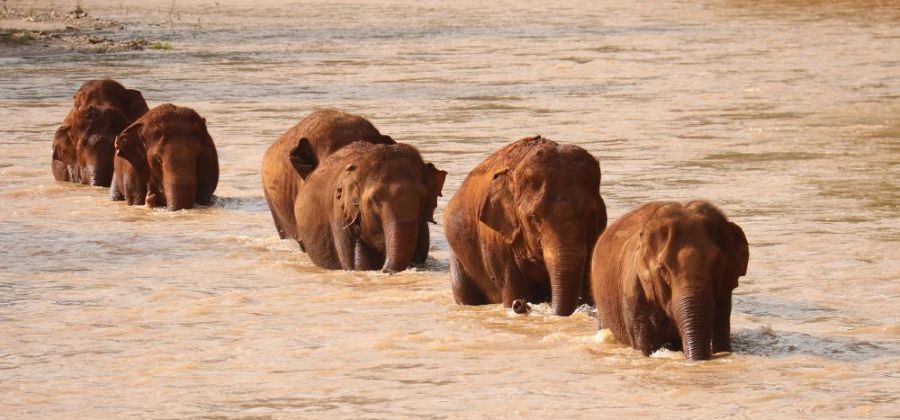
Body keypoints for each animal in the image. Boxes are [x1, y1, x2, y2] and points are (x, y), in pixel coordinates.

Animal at [443, 135, 608, 316]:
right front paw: (514, 302)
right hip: (459, 259)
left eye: (592, 215)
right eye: (534, 218)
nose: (519, 304)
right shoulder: (498, 242)